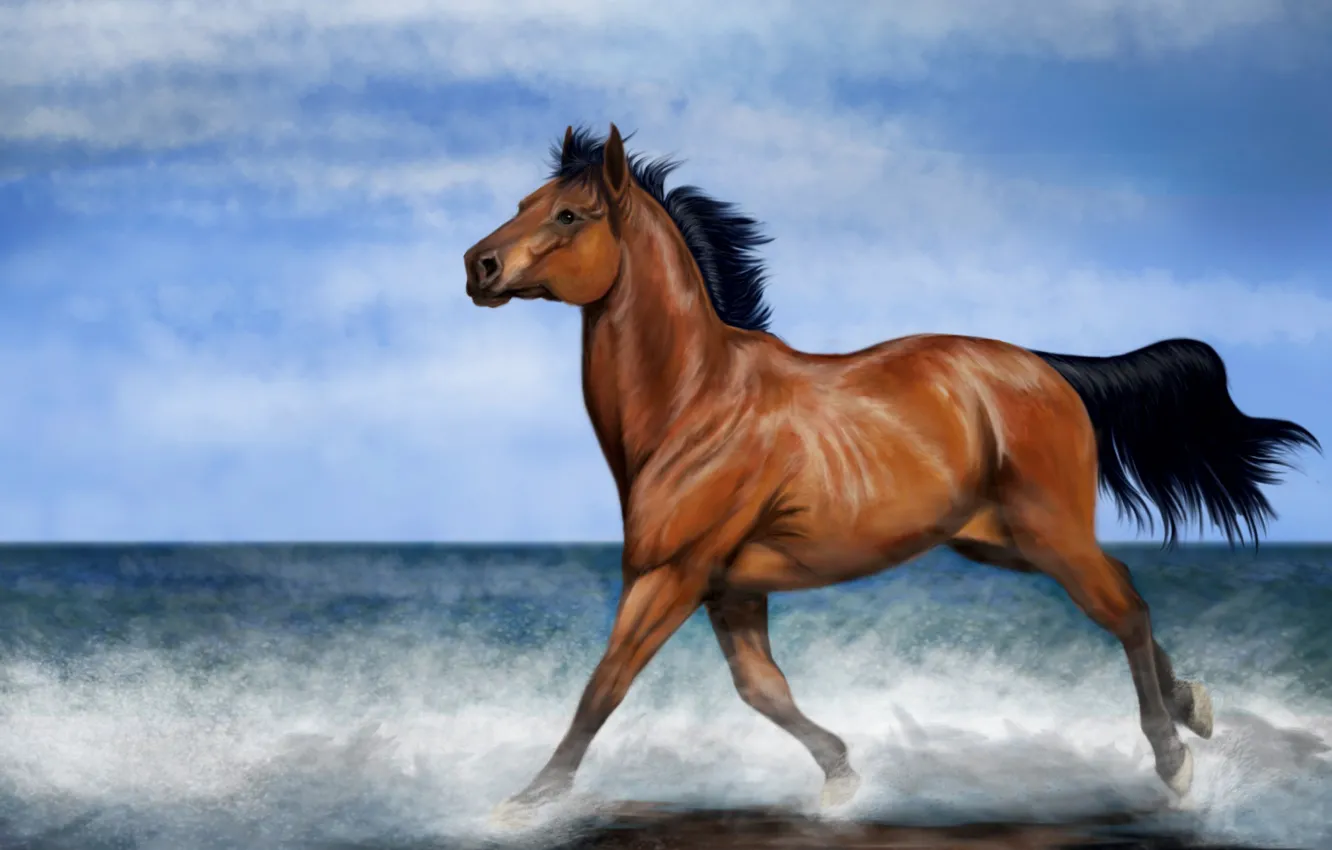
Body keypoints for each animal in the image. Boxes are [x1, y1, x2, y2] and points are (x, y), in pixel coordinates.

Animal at [462, 123, 1320, 815]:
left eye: (569, 215)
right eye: (523, 200)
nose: (479, 265)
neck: (697, 401)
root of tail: (1046, 368)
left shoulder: (671, 575)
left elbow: (604, 685)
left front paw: (528, 801)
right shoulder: (729, 587)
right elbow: (761, 689)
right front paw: (841, 775)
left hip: (1047, 534)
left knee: (1126, 609)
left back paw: (1174, 761)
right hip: (1000, 542)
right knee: (1124, 596)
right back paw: (1193, 707)